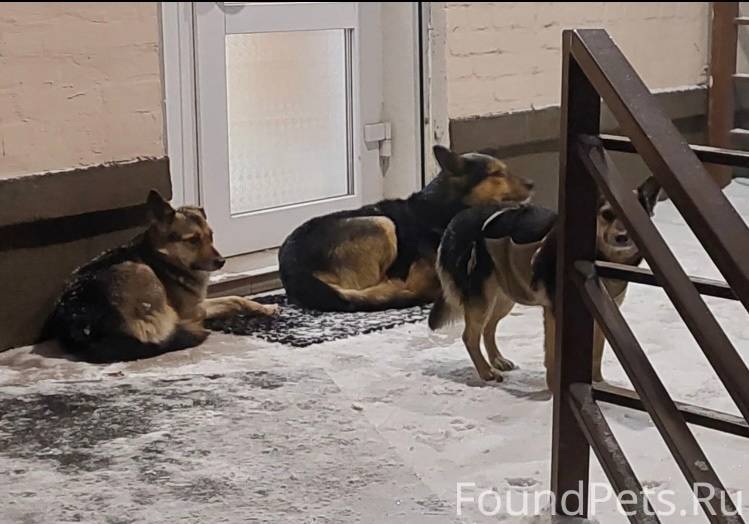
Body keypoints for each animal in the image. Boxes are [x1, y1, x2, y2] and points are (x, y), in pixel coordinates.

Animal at [46, 190, 278, 363]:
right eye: (192, 240)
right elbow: (230, 301)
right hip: (144, 273)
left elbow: (237, 299)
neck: (163, 257)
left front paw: (265, 307)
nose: (222, 262)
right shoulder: (191, 309)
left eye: (210, 236)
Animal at [279, 145, 535, 312]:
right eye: (497, 174)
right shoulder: (419, 278)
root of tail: (291, 266)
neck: (445, 210)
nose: (532, 183)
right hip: (382, 223)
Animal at [428, 177, 660, 387]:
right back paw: (486, 371)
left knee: (488, 328)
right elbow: (552, 354)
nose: (622, 237)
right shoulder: (554, 313)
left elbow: (596, 354)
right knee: (469, 336)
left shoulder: (601, 317)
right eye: (606, 215)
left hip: (505, 294)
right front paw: (553, 387)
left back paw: (497, 360)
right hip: (483, 299)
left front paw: (598, 383)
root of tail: (456, 221)